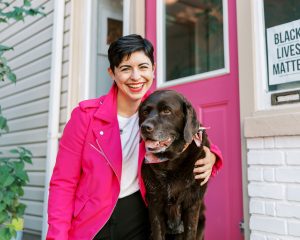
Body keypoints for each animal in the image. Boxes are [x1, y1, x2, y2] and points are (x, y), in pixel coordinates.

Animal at [139, 90, 211, 240]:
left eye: (167, 111)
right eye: (145, 112)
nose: (145, 127)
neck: (170, 163)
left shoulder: (192, 203)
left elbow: (190, 233)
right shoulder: (155, 203)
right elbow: (157, 233)